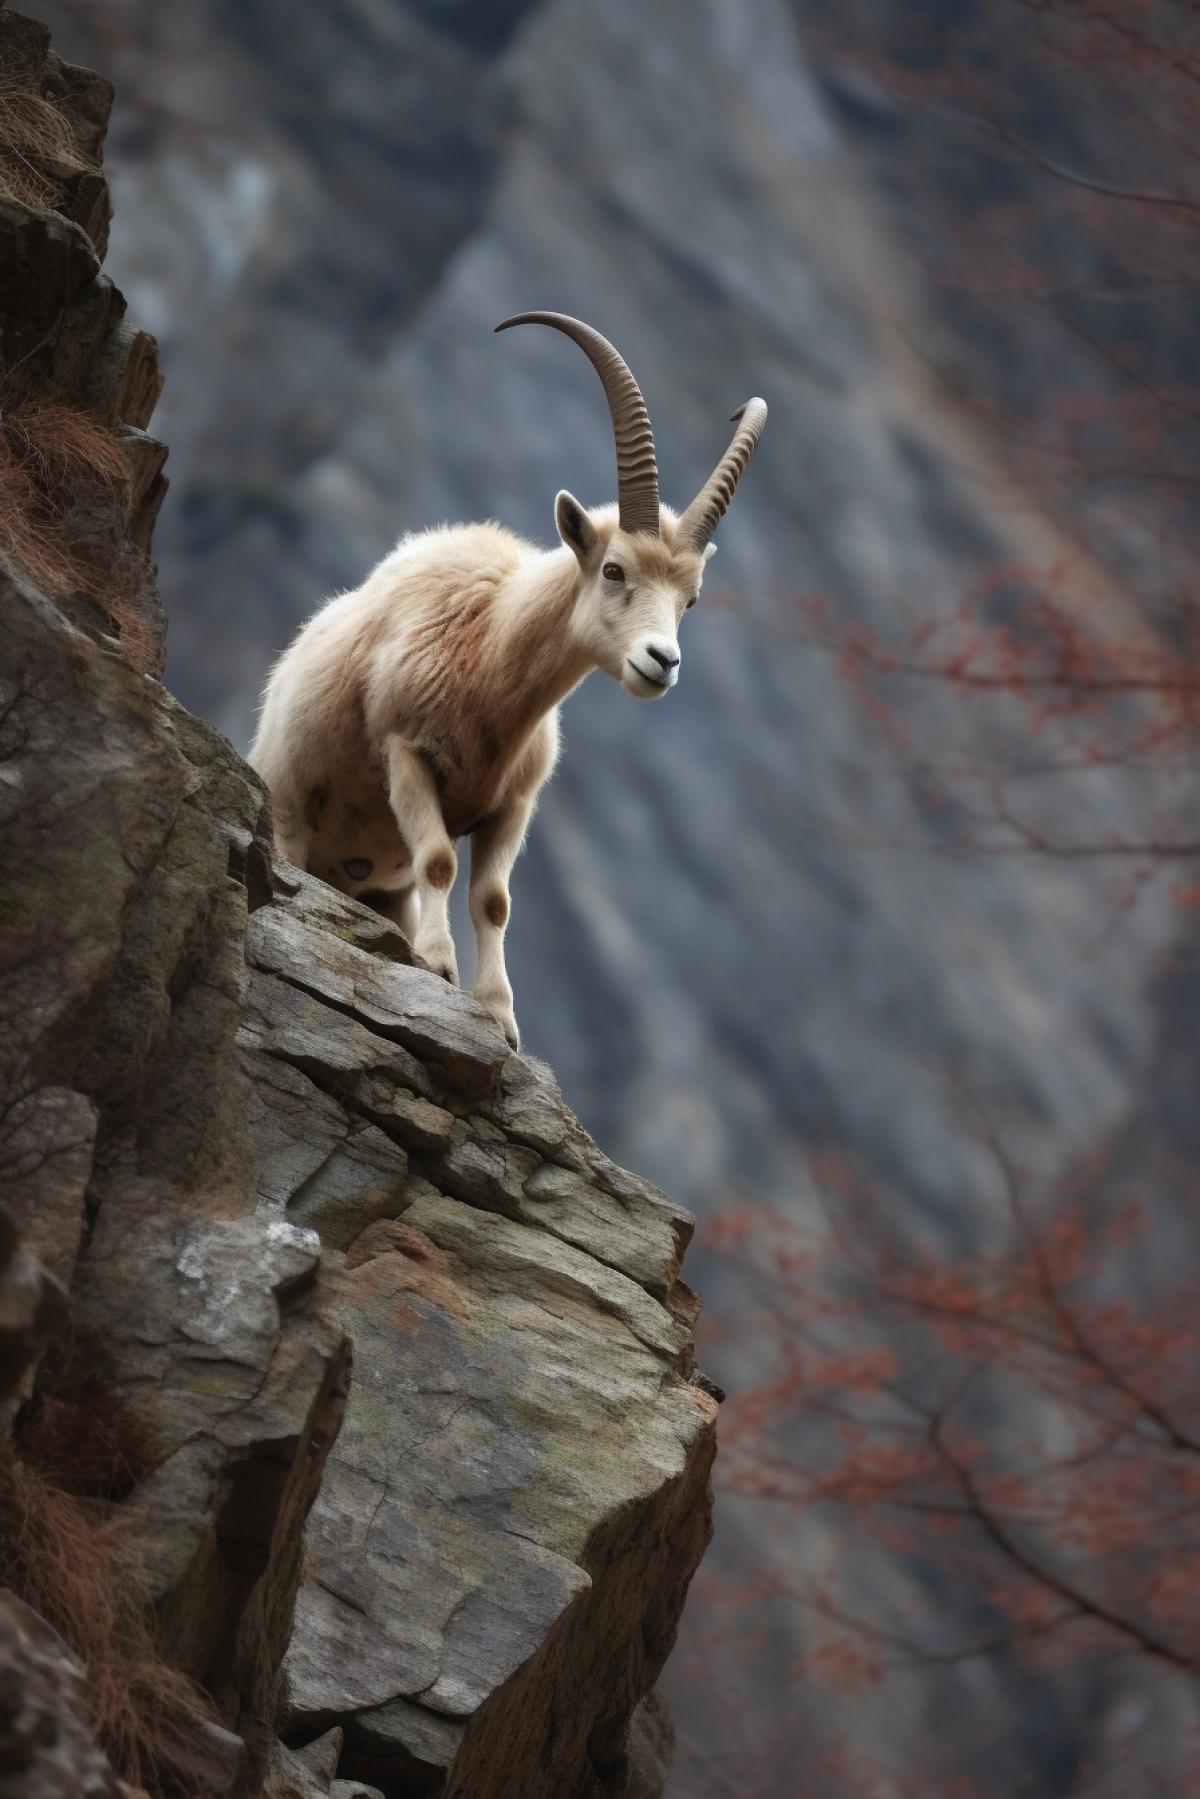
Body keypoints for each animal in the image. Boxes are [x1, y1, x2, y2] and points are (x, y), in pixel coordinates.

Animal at [249, 312, 767, 1049]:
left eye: (690, 598)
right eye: (613, 569)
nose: (661, 661)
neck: (489, 650)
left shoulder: (512, 805)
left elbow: (493, 900)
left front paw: (499, 1017)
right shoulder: (406, 754)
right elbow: (440, 859)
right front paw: (439, 967)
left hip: (381, 889)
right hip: (295, 821)